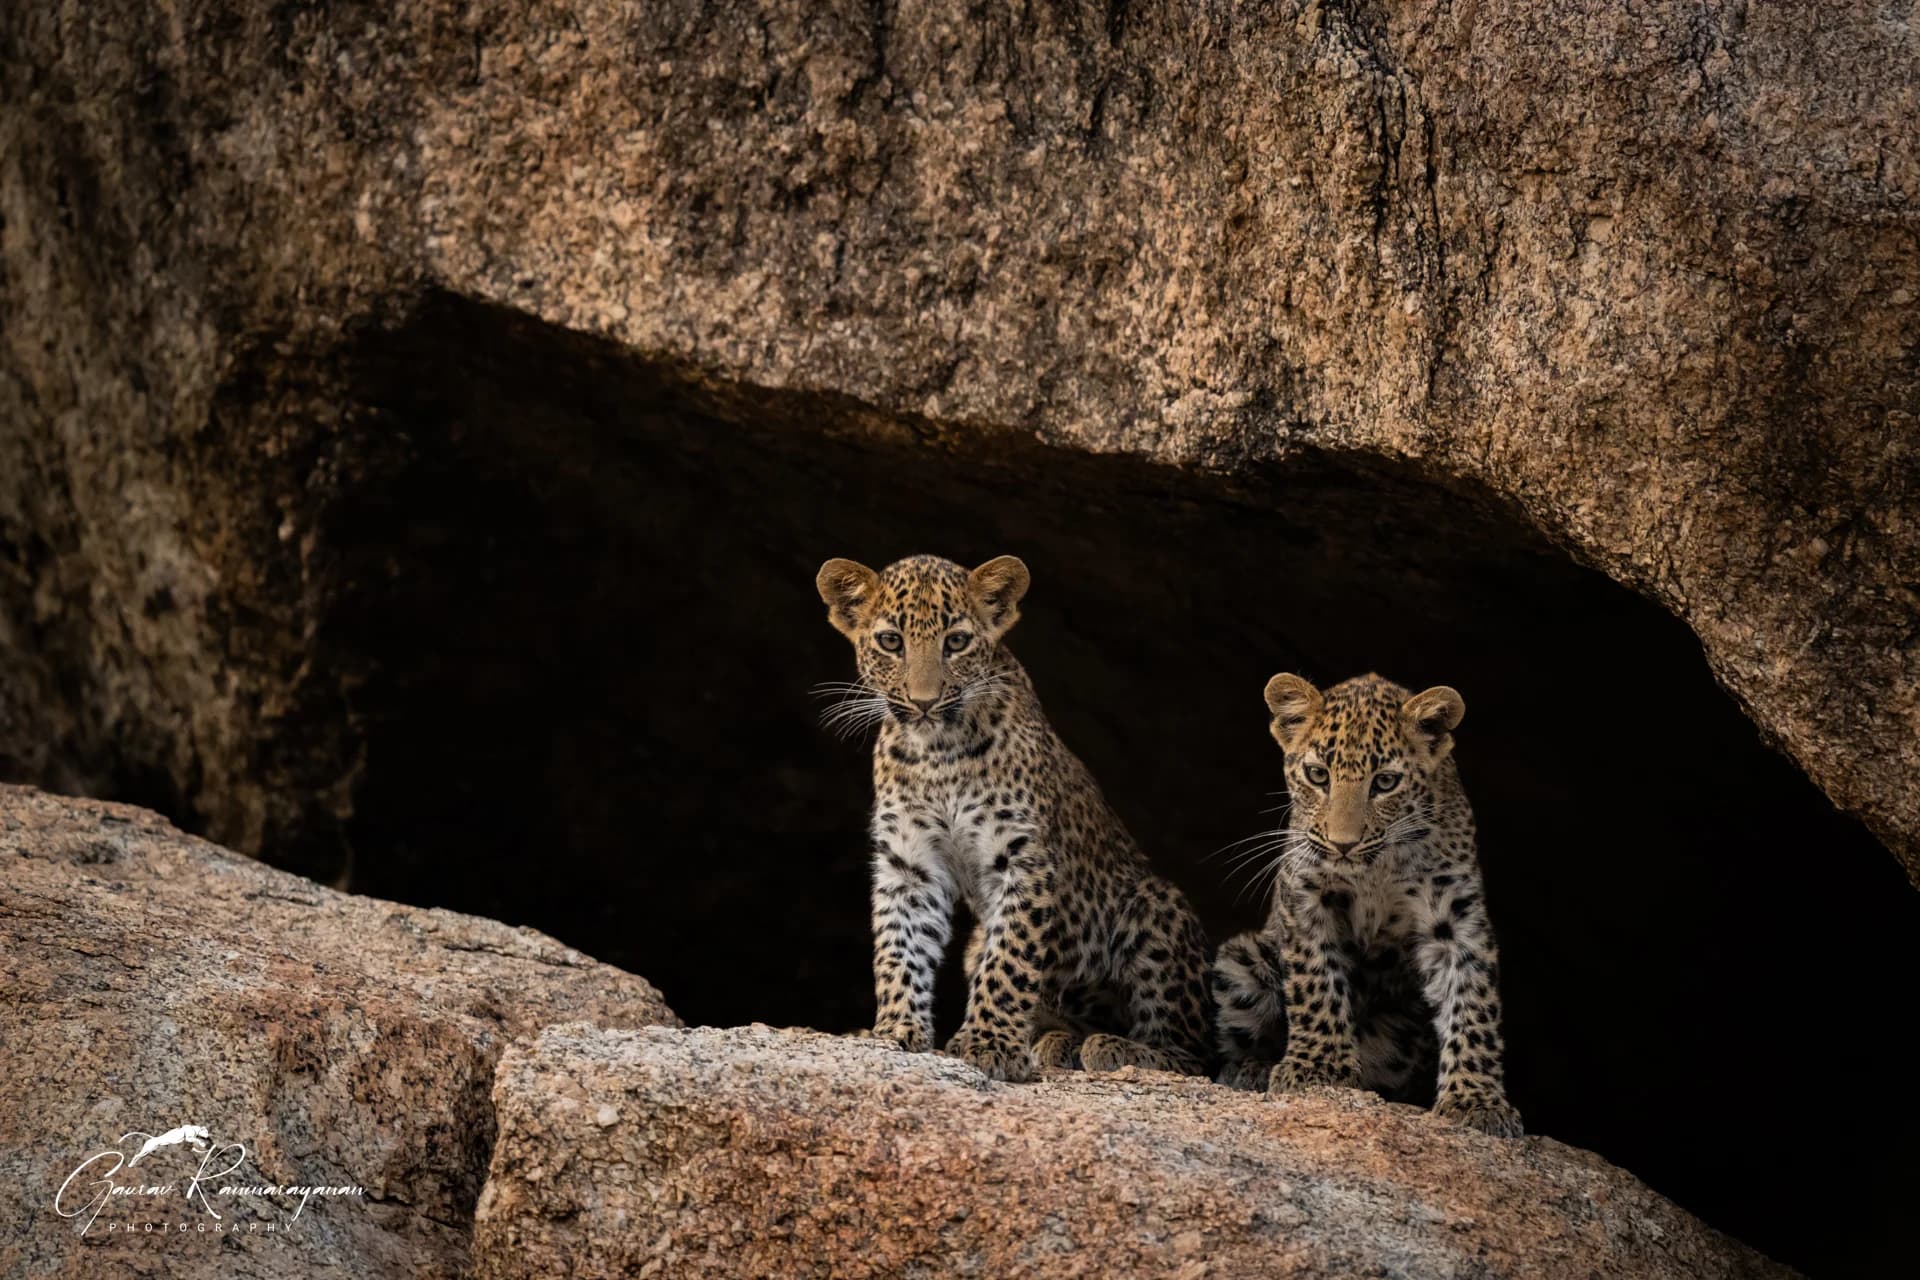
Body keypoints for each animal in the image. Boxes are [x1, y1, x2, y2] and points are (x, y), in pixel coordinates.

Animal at [816, 553, 1213, 1083]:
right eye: (891, 641)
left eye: (956, 642)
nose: (923, 702)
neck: (938, 754)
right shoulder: (909, 862)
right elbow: (899, 945)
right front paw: (895, 1029)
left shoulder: (1022, 858)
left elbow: (1009, 959)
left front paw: (989, 1045)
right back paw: (1057, 1042)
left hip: (1154, 908)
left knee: (1191, 1051)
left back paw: (1112, 1047)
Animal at [1211, 671, 1523, 1137]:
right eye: (1318, 775)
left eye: (1386, 782)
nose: (1343, 845)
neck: (1376, 870)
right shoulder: (1305, 897)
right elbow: (1316, 983)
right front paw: (1317, 1069)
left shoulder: (1456, 920)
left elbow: (1473, 1004)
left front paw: (1476, 1100)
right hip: (1243, 958)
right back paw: (1249, 1070)